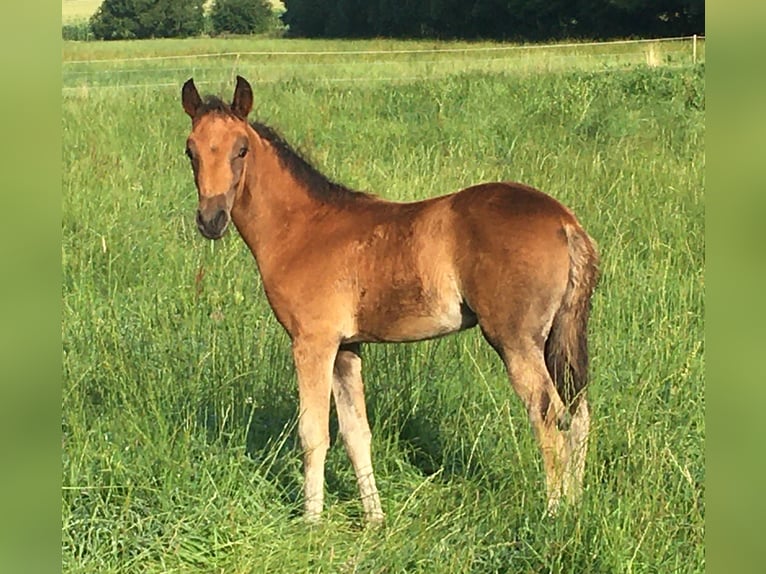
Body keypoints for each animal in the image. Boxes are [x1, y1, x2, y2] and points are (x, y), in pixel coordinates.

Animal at [178, 76, 600, 528]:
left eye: (241, 149)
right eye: (191, 150)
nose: (211, 221)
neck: (303, 228)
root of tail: (565, 222)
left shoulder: (313, 343)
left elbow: (313, 432)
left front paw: (312, 522)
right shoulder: (347, 348)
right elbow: (356, 433)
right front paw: (375, 519)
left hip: (516, 340)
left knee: (548, 413)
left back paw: (554, 511)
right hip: (558, 337)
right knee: (578, 411)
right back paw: (577, 505)